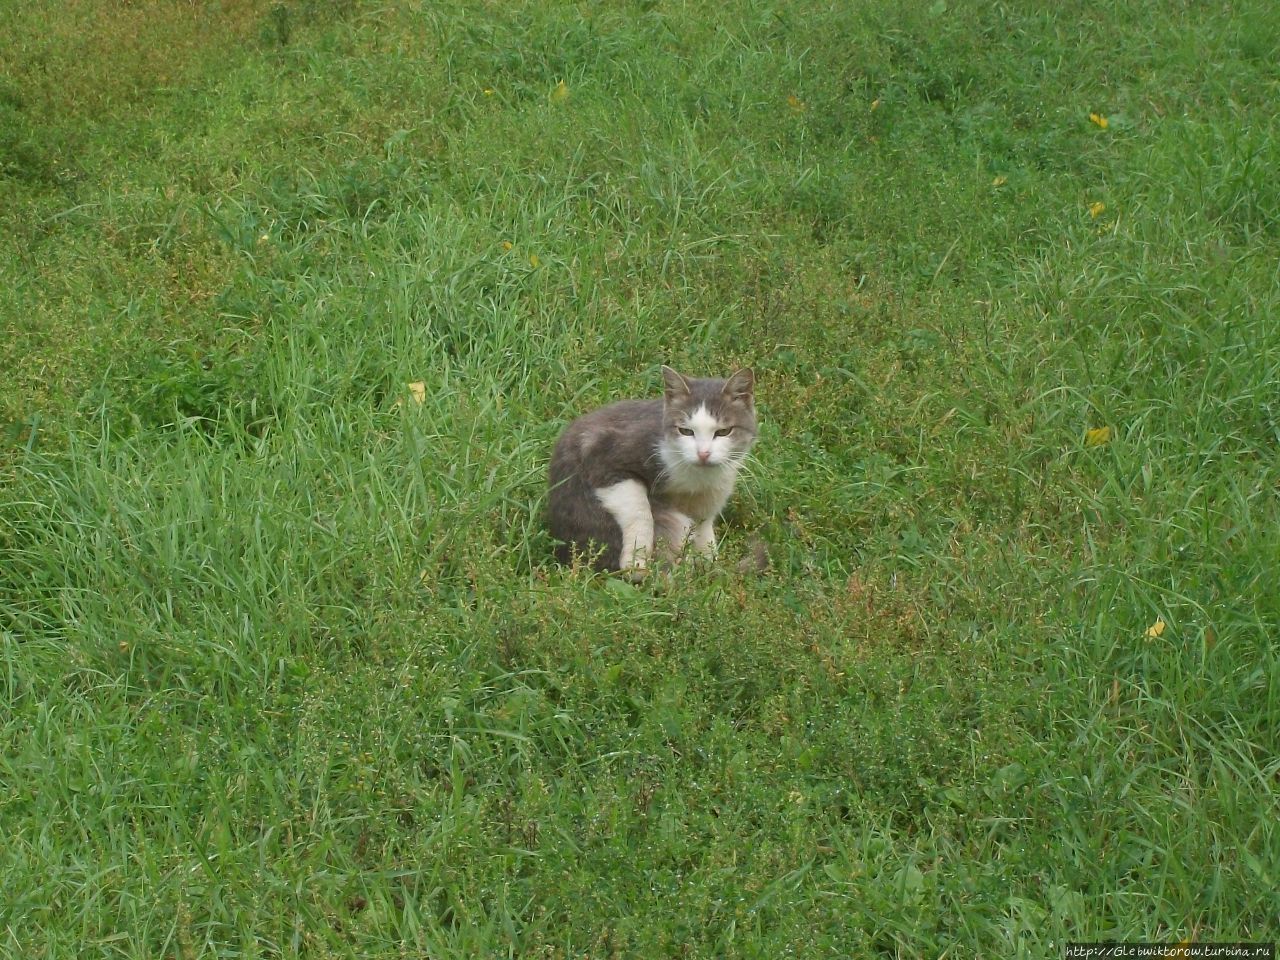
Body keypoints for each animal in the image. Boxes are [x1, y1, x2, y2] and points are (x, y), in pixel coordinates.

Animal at [545, 363, 752, 576]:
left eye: (723, 431)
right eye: (686, 431)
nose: (703, 453)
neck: (696, 479)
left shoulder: (708, 494)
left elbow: (704, 527)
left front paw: (708, 565)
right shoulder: (601, 458)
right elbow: (639, 511)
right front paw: (636, 560)